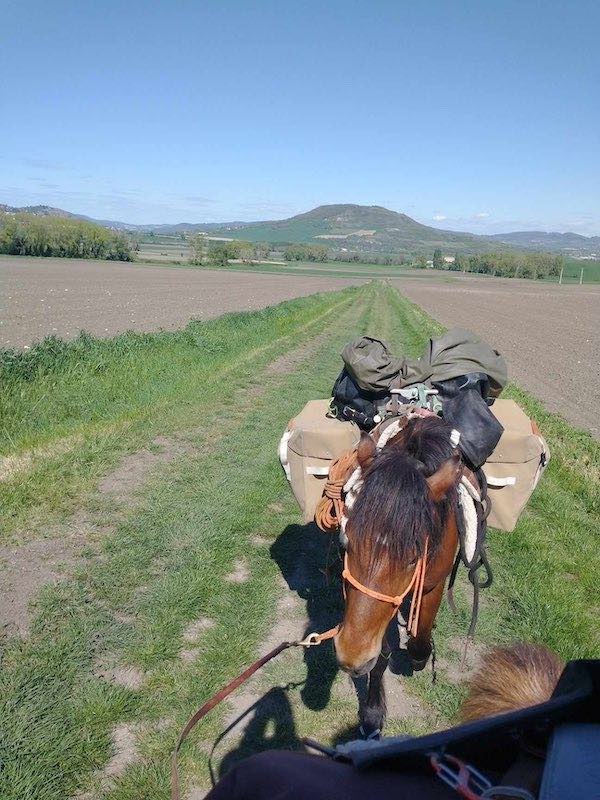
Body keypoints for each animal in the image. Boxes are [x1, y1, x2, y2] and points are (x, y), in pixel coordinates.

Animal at [333, 414, 465, 737]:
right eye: (345, 543)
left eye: (413, 559)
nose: (350, 656)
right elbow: (381, 653)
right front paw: (372, 712)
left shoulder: (431, 586)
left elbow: (419, 639)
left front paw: (419, 656)